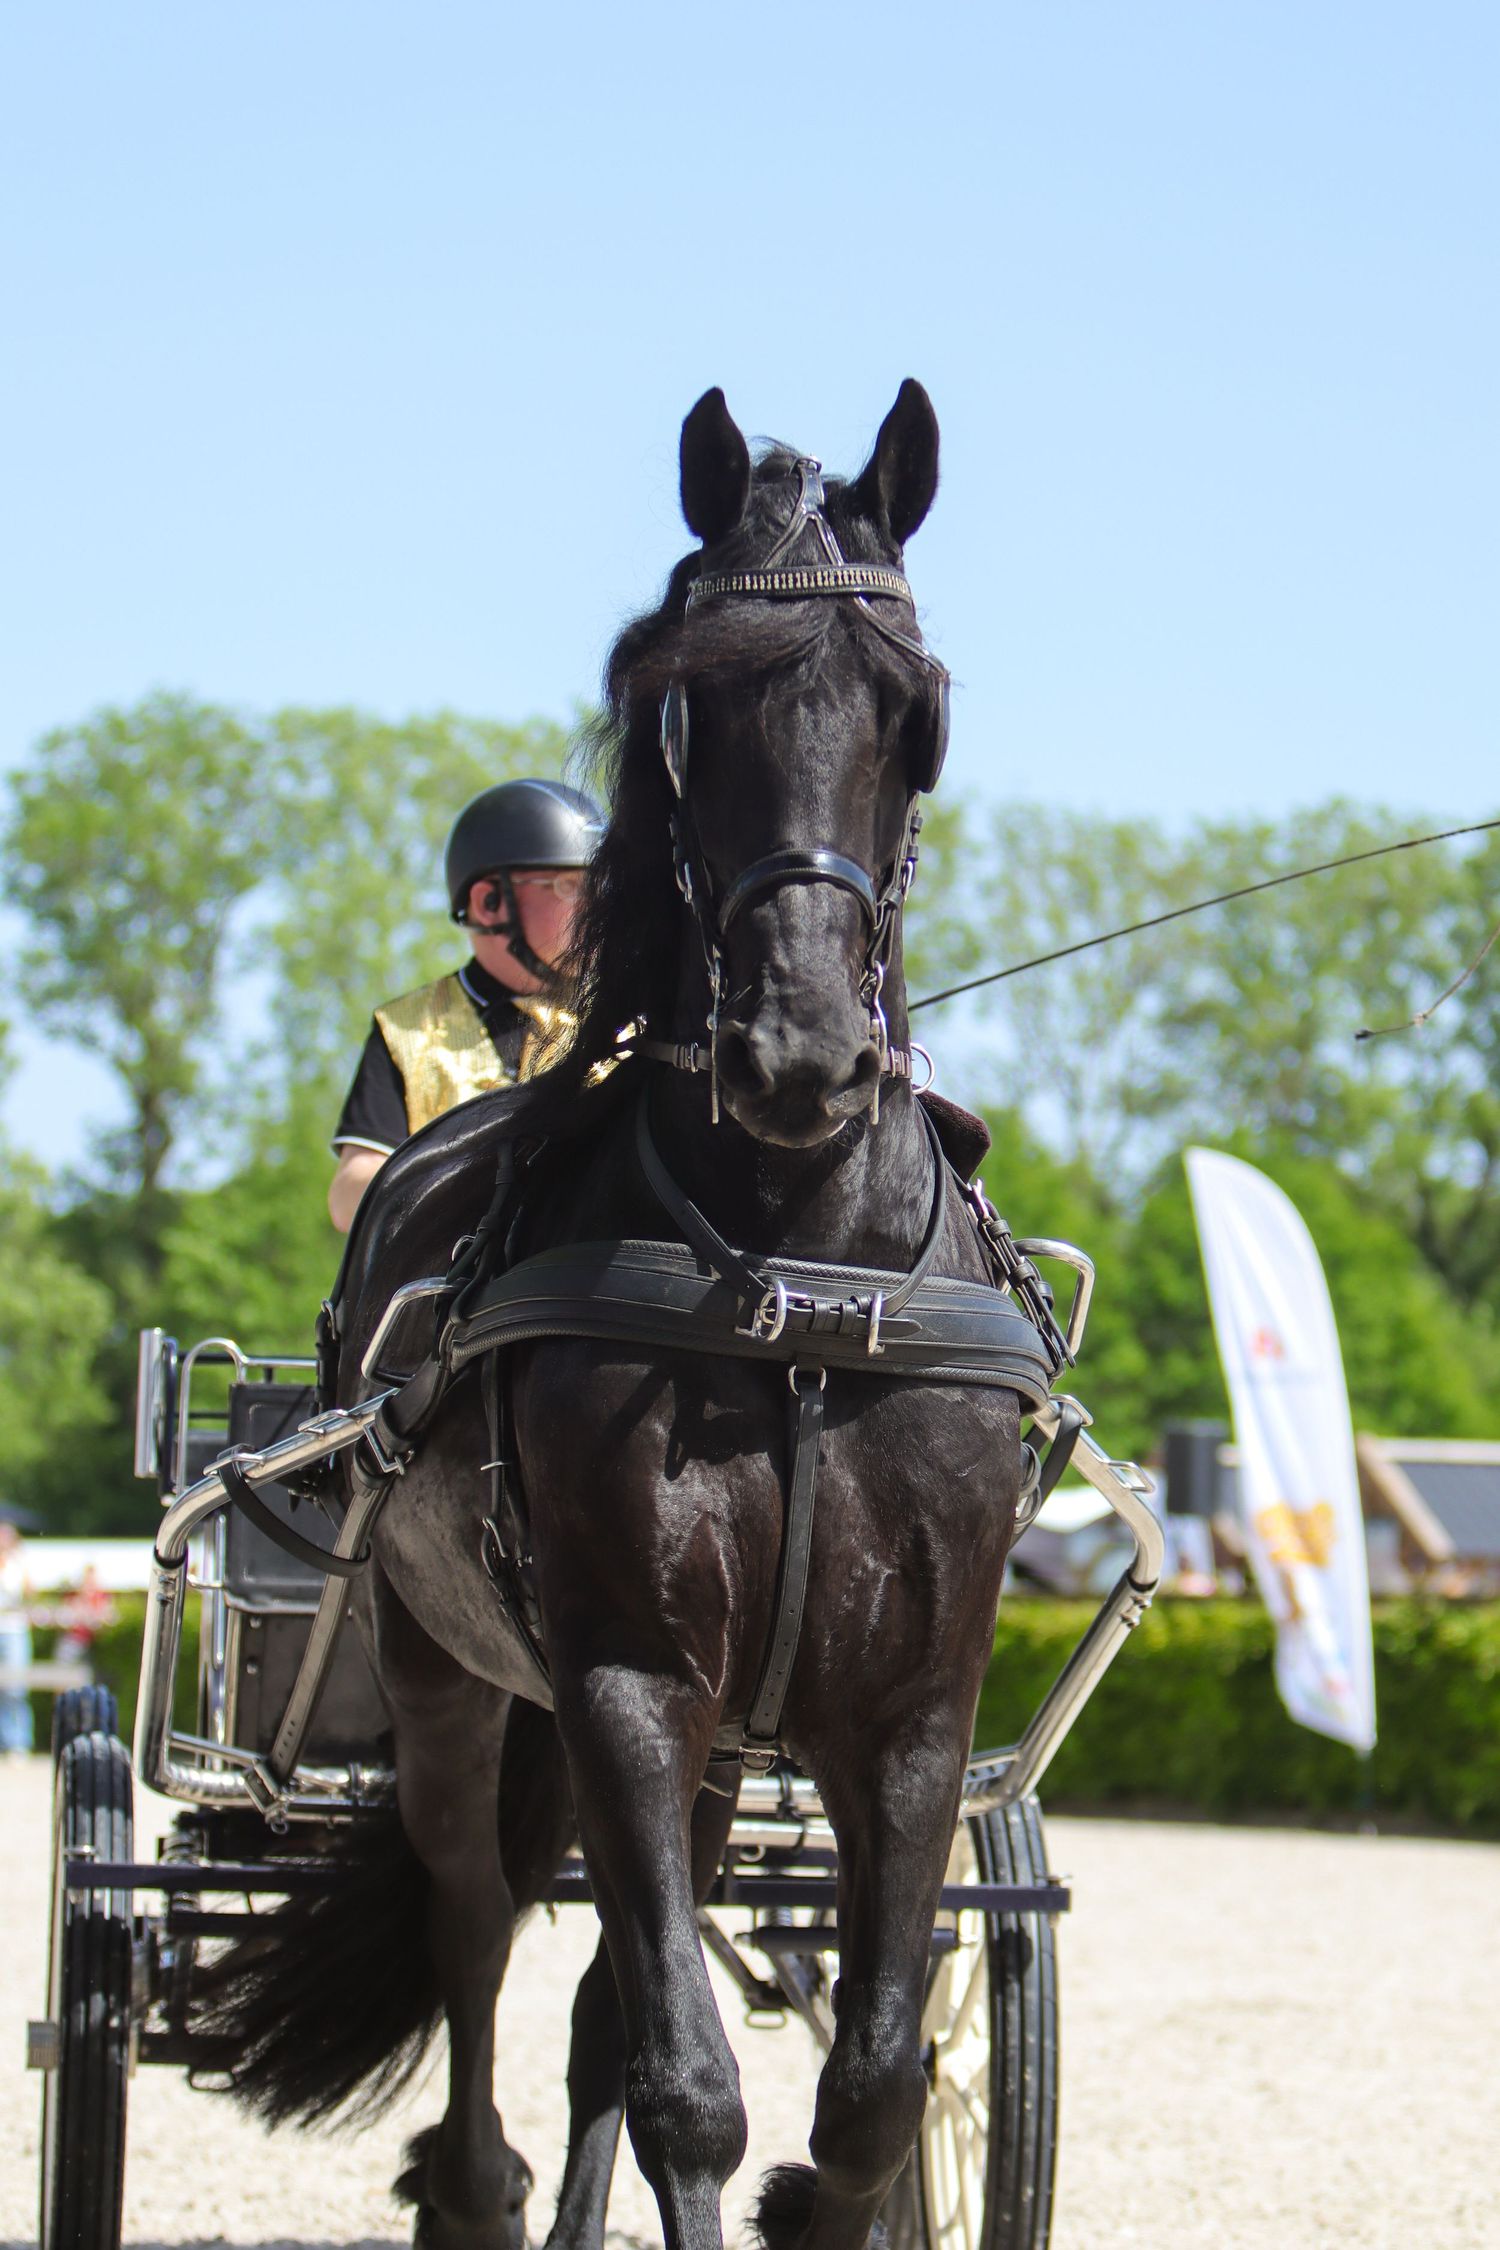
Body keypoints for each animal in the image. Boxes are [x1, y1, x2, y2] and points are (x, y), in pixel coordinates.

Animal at [201, 381, 1033, 2250]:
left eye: (917, 711)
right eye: (681, 702)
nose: (797, 1053)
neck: (800, 1282)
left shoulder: (912, 1710)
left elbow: (871, 2086)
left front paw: (822, 2196)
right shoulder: (627, 1678)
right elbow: (689, 2083)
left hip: (724, 1739)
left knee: (592, 2006)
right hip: (451, 1674)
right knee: (476, 1925)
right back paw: (480, 2185)